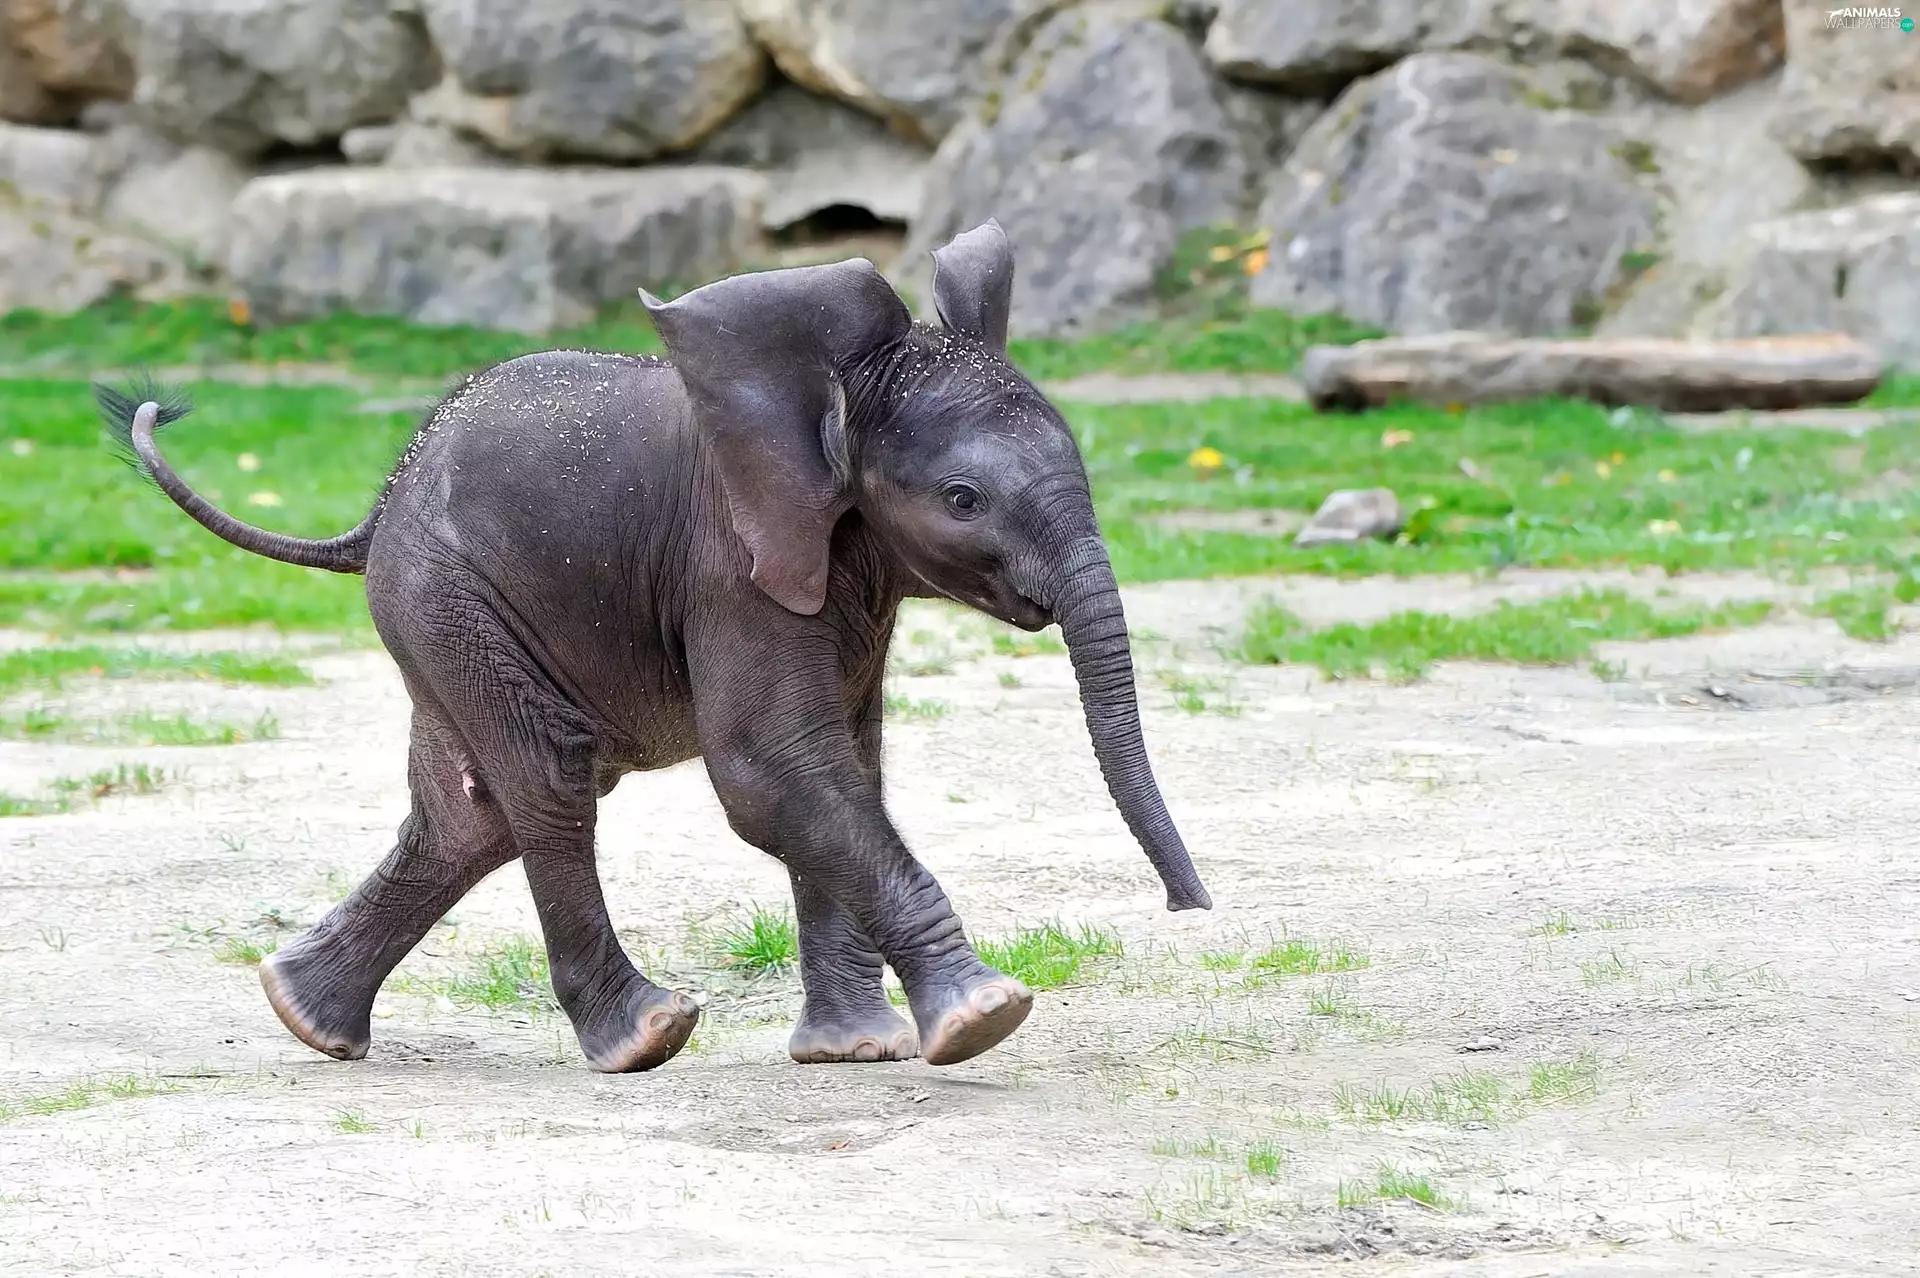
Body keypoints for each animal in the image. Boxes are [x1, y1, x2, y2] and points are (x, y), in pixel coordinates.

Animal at [95, 220, 1211, 1074]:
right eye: (964, 499)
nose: (1189, 908)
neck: (833, 395)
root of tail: (372, 514)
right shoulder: (731, 565)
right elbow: (773, 771)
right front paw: (985, 1018)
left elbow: (843, 767)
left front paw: (858, 1052)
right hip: (445, 593)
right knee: (548, 782)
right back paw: (642, 1038)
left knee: (472, 815)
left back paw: (308, 1017)